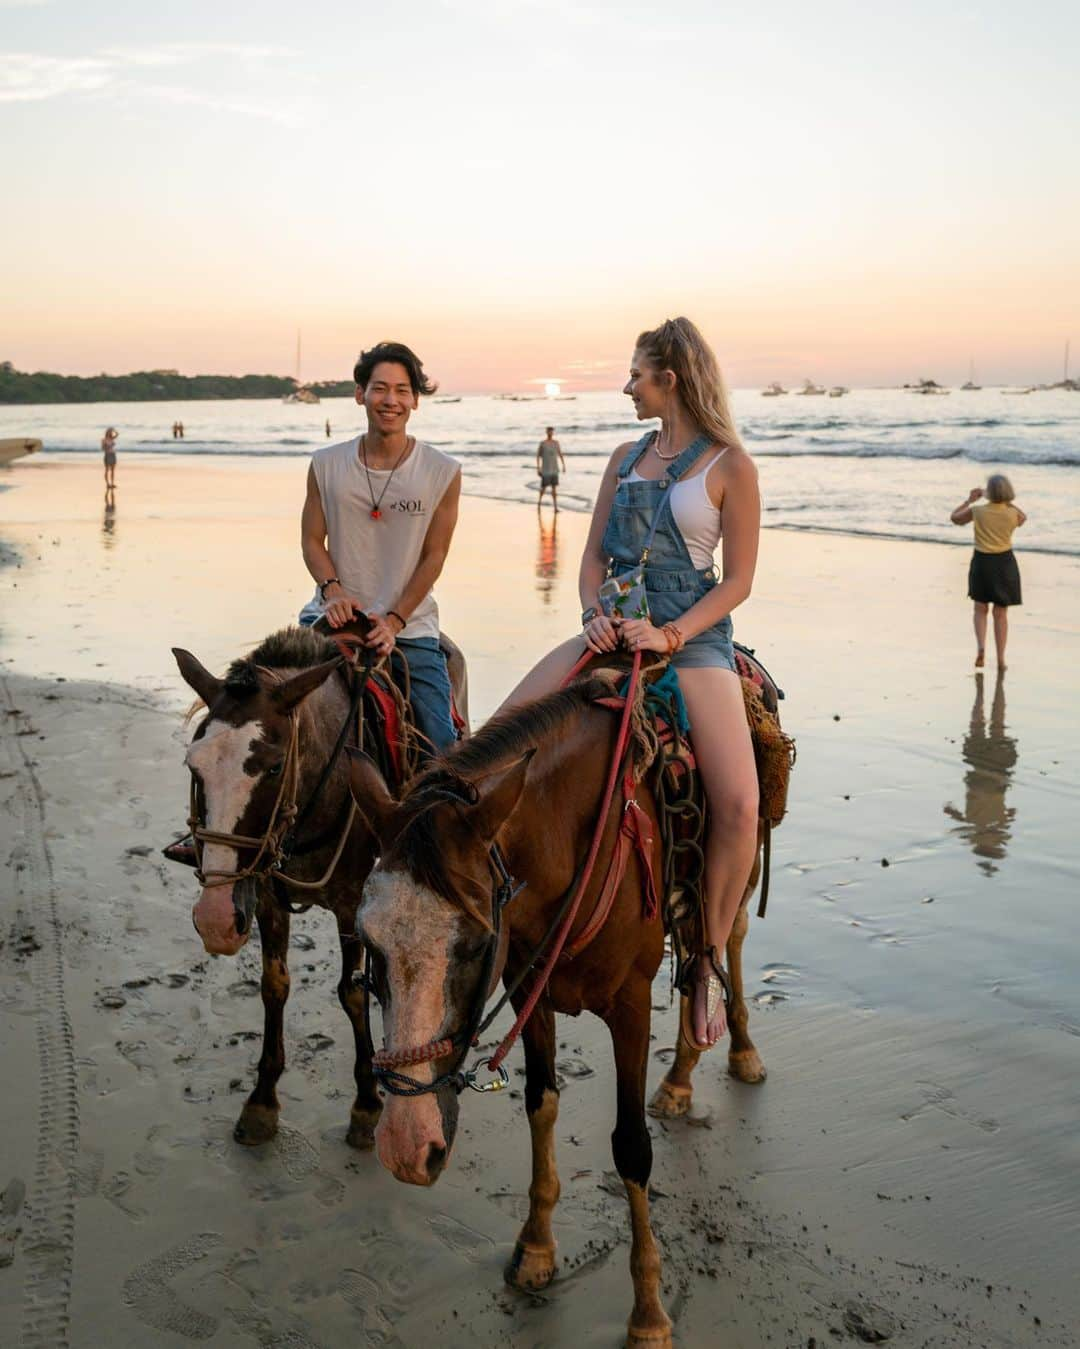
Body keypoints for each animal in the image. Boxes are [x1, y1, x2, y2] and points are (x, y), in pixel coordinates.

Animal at [350, 669, 760, 1343]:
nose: (407, 1149)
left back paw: (737, 1051)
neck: (570, 842)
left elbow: (631, 1147)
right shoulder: (528, 989)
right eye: (369, 941)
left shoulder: (630, 1005)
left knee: (724, 941)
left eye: (476, 942)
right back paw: (678, 1079)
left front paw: (649, 1313)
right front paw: (536, 1250)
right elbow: (540, 1104)